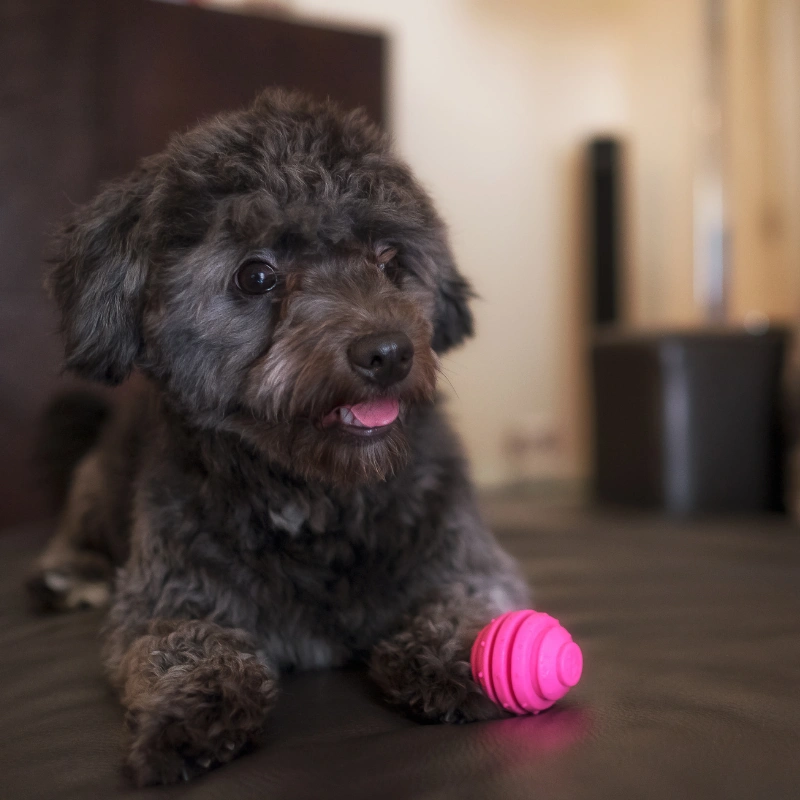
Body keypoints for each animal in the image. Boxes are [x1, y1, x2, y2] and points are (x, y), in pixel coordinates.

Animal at [29, 90, 532, 784]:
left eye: (389, 260)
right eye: (256, 276)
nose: (388, 352)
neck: (314, 497)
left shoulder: (466, 555)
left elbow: (467, 602)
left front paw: (460, 656)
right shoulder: (162, 599)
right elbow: (183, 646)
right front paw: (184, 717)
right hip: (98, 485)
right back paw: (67, 575)